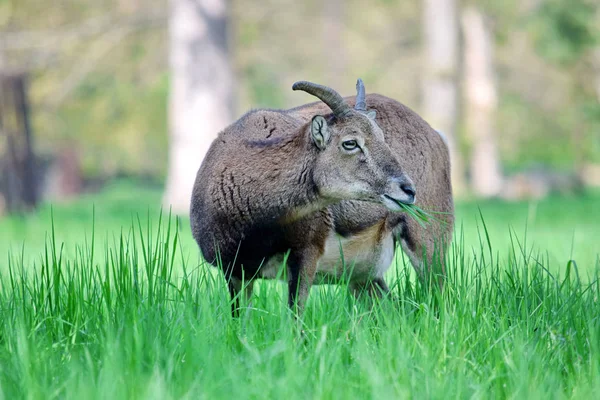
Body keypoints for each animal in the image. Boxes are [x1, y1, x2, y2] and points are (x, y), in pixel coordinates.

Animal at [190, 79, 452, 316]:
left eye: (382, 137)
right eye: (350, 142)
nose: (408, 189)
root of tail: (438, 137)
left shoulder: (305, 254)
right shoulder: (236, 273)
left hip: (429, 244)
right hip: (363, 278)